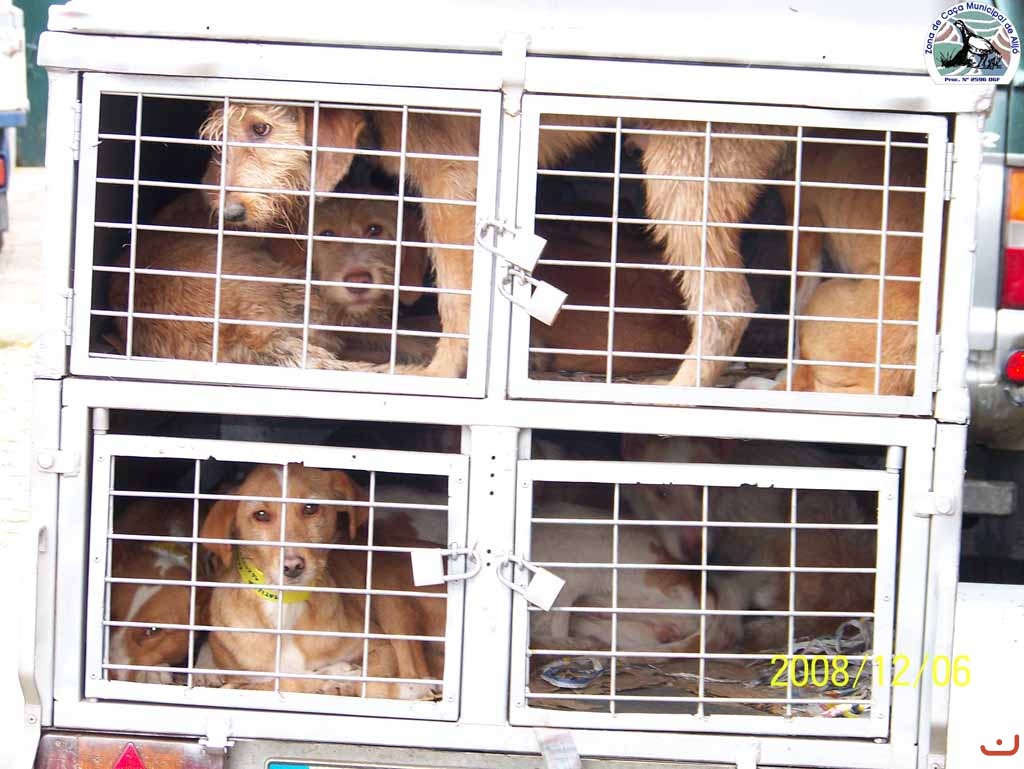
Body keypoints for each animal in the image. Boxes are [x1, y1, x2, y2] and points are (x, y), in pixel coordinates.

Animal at [198, 463, 438, 698]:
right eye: (261, 515)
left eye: (310, 508)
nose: (293, 566)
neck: (287, 608)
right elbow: (286, 681)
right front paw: (334, 675)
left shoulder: (380, 646)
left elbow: (372, 683)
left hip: (390, 598)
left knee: (413, 668)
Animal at [199, 103, 787, 384]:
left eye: (260, 128)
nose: (229, 213)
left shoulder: (453, 182)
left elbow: (456, 299)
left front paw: (441, 374)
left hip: (684, 174)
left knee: (728, 303)